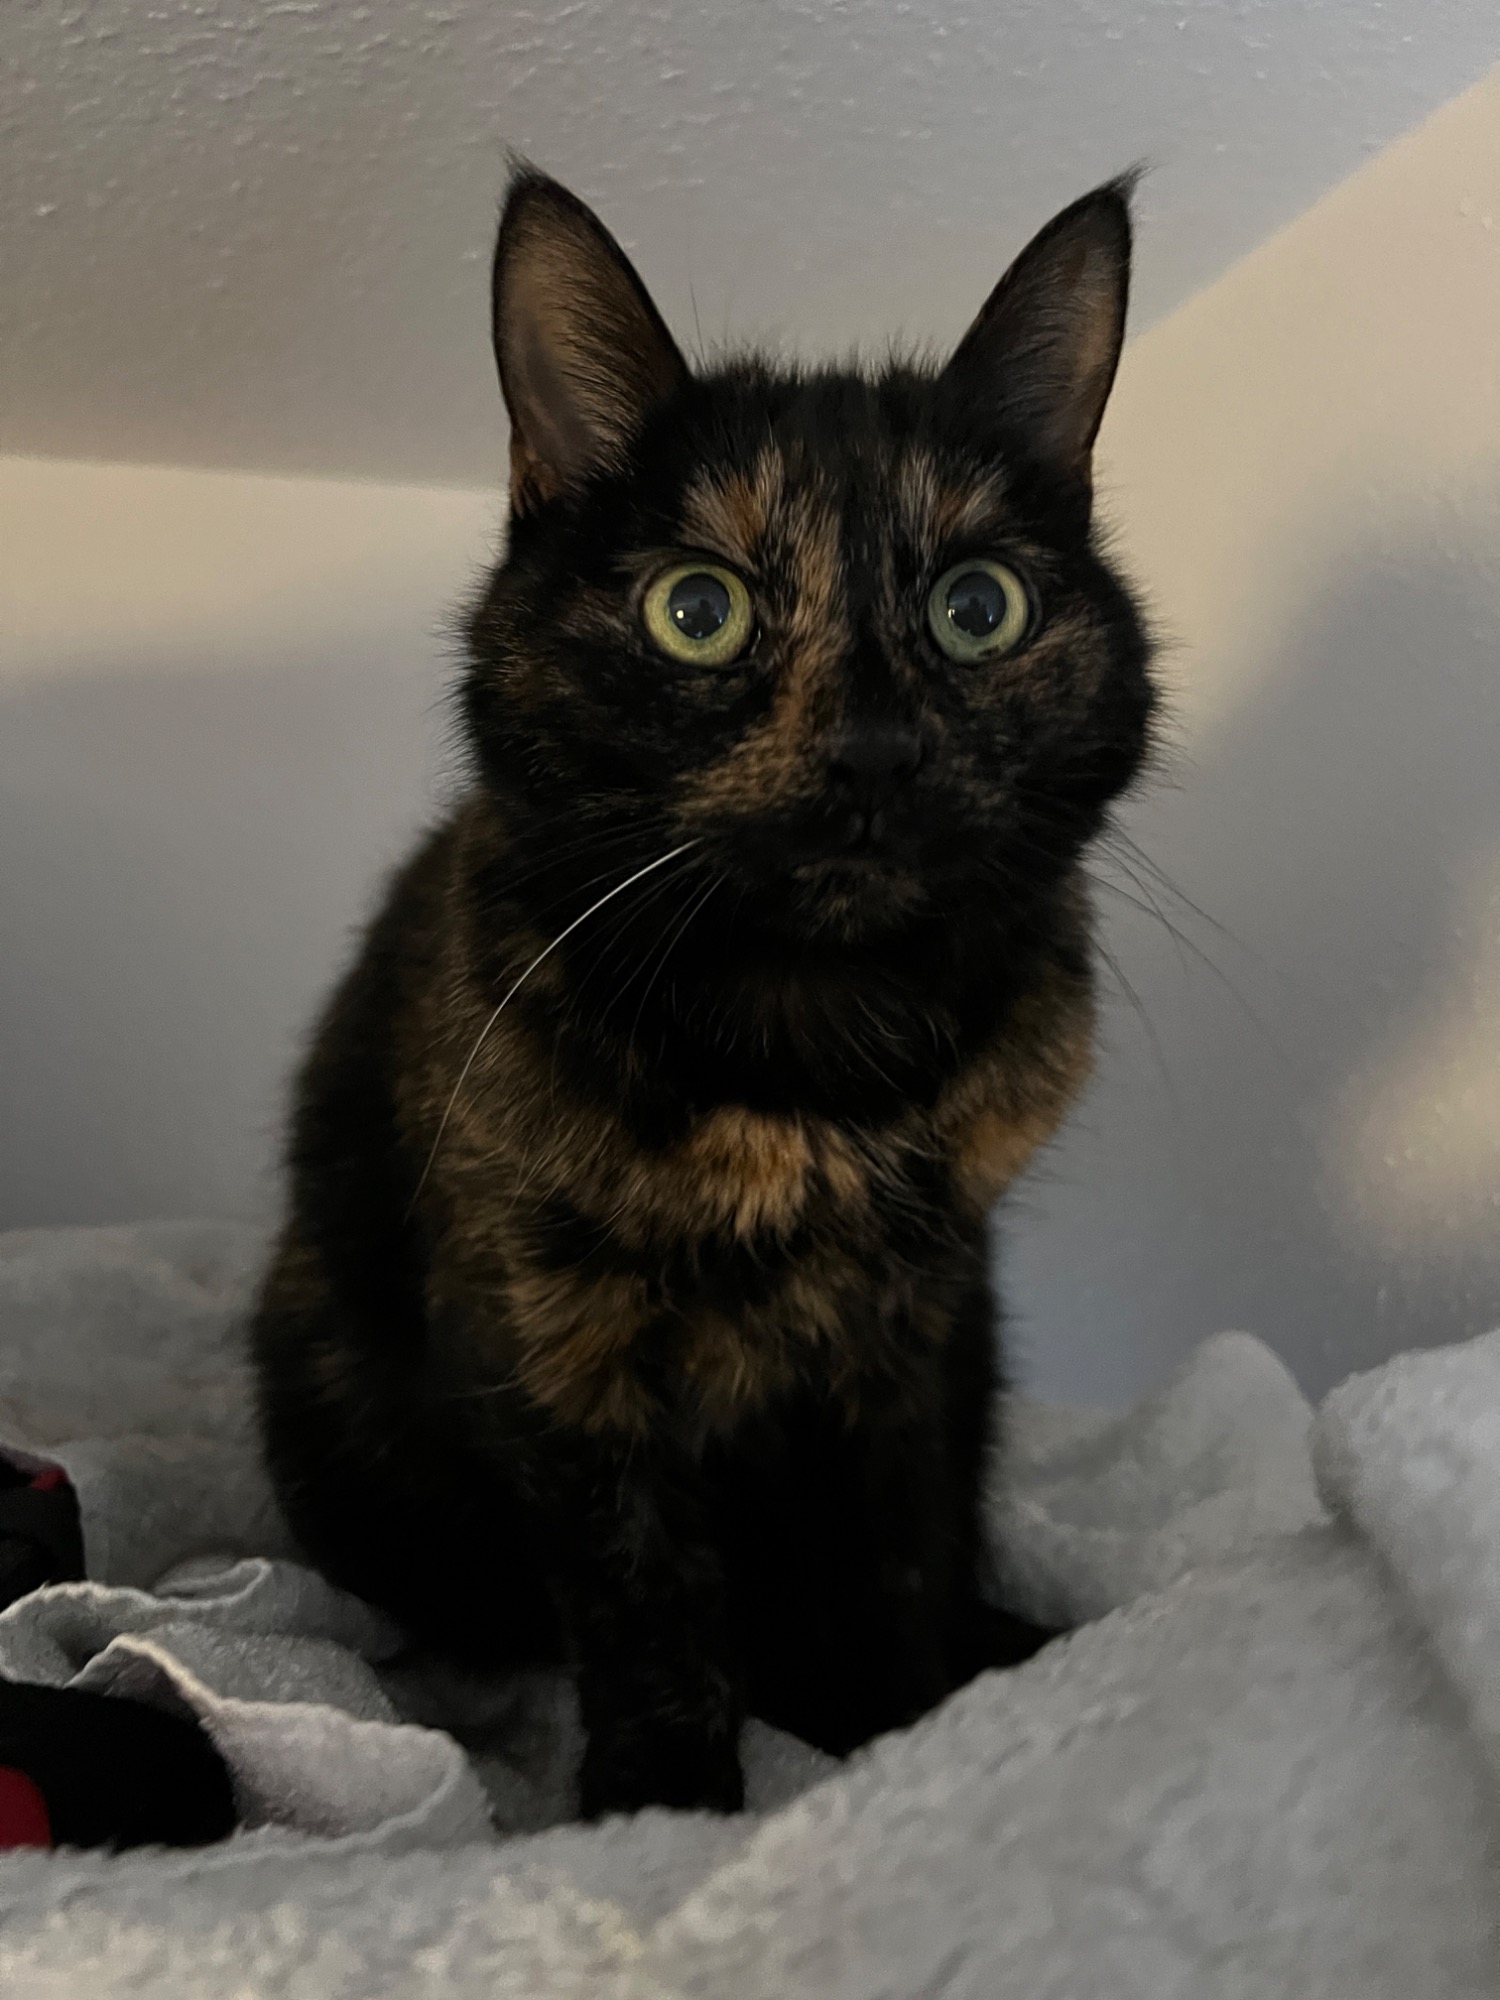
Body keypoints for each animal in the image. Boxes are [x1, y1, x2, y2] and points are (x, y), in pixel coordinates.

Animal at [251, 165, 1156, 1819]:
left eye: (978, 607)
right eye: (697, 610)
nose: (874, 751)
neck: (814, 1056)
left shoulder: (919, 1327)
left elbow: (896, 1553)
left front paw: (906, 1728)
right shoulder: (553, 1336)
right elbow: (643, 1590)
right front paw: (666, 1800)